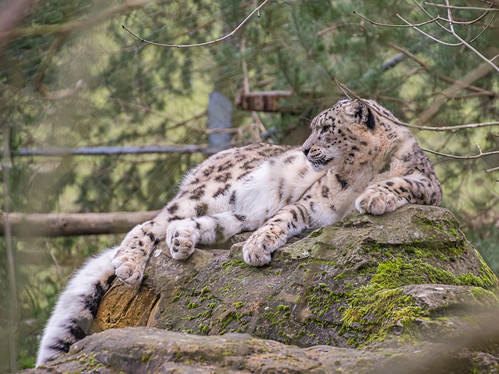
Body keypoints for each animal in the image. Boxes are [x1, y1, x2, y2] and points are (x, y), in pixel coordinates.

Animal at [36, 98, 442, 366]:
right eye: (314, 128)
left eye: (326, 129)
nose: (305, 149)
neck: (356, 173)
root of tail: (211, 160)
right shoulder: (310, 203)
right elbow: (285, 217)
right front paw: (258, 248)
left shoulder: (429, 187)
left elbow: (403, 183)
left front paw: (374, 196)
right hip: (211, 192)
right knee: (151, 223)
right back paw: (131, 264)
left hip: (236, 214)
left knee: (198, 225)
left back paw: (182, 243)